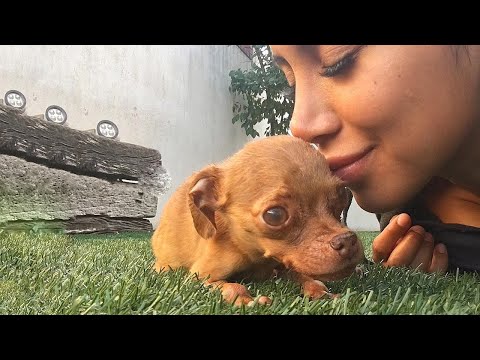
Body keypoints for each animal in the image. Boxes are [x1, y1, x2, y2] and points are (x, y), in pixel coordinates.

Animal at [152, 136, 366, 306]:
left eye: (342, 198)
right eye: (274, 215)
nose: (347, 240)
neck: (257, 258)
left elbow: (308, 278)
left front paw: (321, 292)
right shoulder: (200, 278)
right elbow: (233, 287)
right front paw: (248, 300)